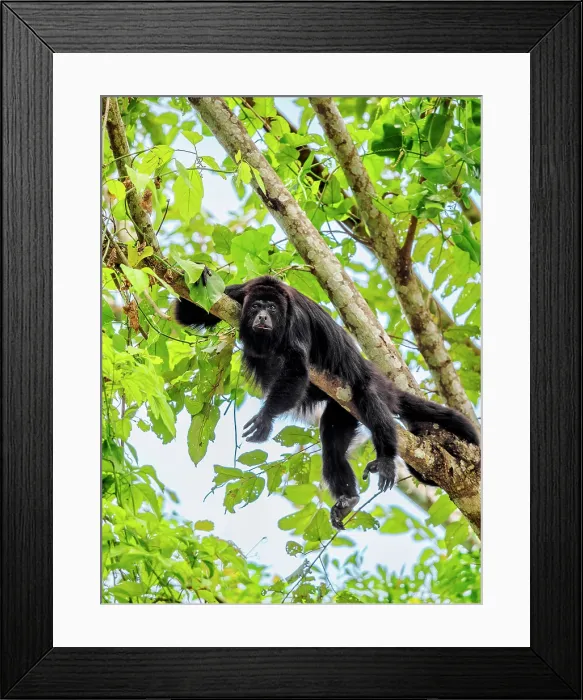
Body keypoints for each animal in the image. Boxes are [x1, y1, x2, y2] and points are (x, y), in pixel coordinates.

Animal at [175, 273, 480, 529]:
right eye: (256, 306)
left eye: (272, 308)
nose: (262, 315)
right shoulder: (238, 294)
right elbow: (192, 312)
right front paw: (202, 276)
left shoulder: (295, 320)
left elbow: (297, 369)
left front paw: (265, 418)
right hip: (341, 410)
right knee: (332, 445)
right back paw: (348, 498)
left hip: (365, 385)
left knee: (370, 401)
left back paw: (386, 459)